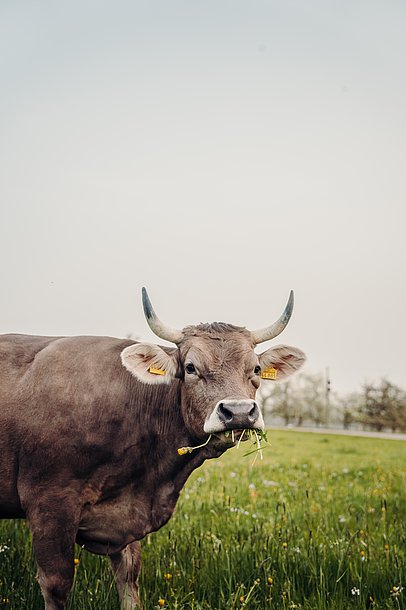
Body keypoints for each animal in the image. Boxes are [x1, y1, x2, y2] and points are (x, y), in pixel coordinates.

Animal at [0, 288, 304, 604]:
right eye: (190, 368)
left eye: (255, 368)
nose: (240, 411)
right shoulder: (50, 503)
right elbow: (57, 584)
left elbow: (129, 577)